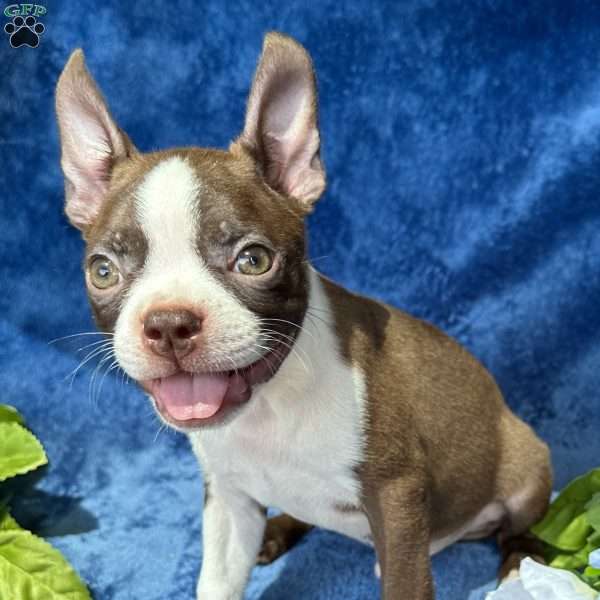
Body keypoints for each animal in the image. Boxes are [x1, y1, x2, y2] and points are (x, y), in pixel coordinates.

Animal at [56, 31, 552, 600]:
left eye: (253, 260)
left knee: (515, 525)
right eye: (103, 271)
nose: (168, 322)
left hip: (527, 463)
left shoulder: (397, 492)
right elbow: (217, 581)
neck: (268, 407)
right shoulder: (228, 499)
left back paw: (519, 566)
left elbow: (404, 579)